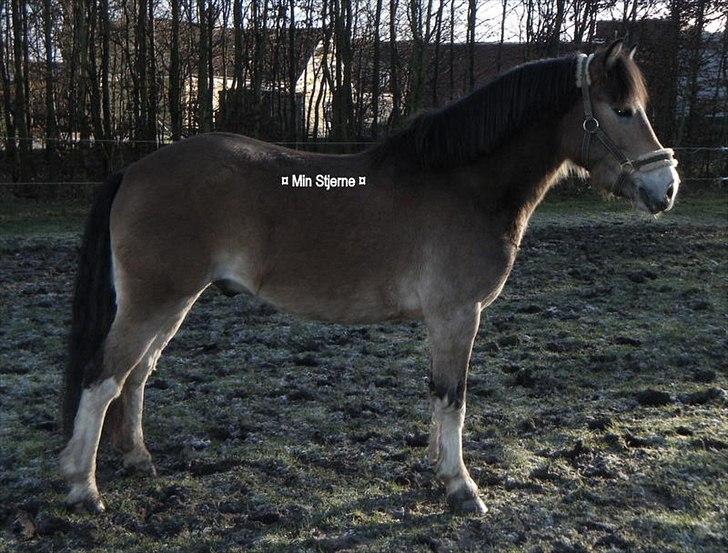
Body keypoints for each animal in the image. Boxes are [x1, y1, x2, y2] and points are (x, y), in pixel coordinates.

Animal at [59, 40, 679, 515]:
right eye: (623, 111)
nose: (667, 188)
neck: (463, 183)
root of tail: (135, 169)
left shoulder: (446, 321)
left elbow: (438, 395)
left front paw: (439, 469)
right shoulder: (458, 315)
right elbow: (453, 397)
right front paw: (462, 488)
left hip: (172, 302)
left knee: (137, 376)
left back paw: (137, 459)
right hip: (154, 300)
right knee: (103, 378)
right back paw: (83, 491)